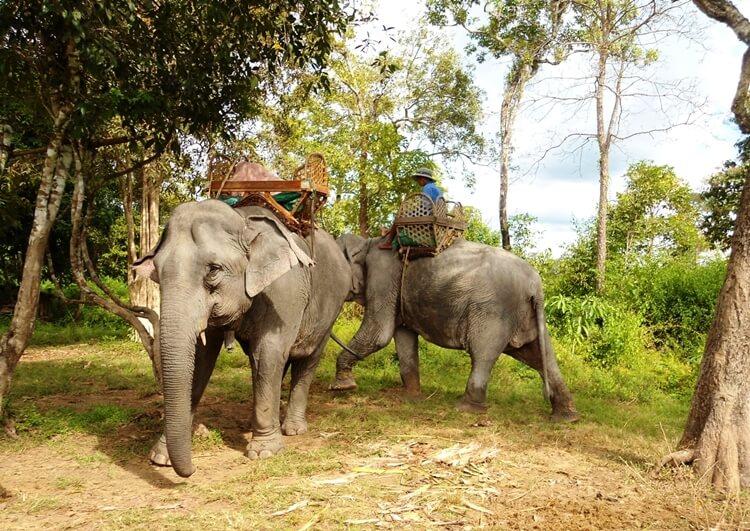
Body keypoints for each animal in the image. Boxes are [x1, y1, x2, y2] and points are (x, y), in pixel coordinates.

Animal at [134, 200, 352, 478]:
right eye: (158, 273)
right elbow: (202, 359)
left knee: (305, 358)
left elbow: (269, 351)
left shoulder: (284, 291)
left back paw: (293, 429)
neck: (242, 220)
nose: (193, 469)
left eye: (213, 270)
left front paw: (264, 453)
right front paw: (160, 458)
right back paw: (253, 424)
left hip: (330, 310)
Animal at [330, 234, 580, 424]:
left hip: (492, 312)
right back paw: (567, 417)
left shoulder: (383, 278)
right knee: (541, 357)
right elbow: (403, 336)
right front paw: (410, 397)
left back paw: (465, 408)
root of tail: (536, 285)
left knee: (482, 354)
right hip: (526, 316)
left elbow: (380, 332)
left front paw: (341, 387)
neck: (368, 242)